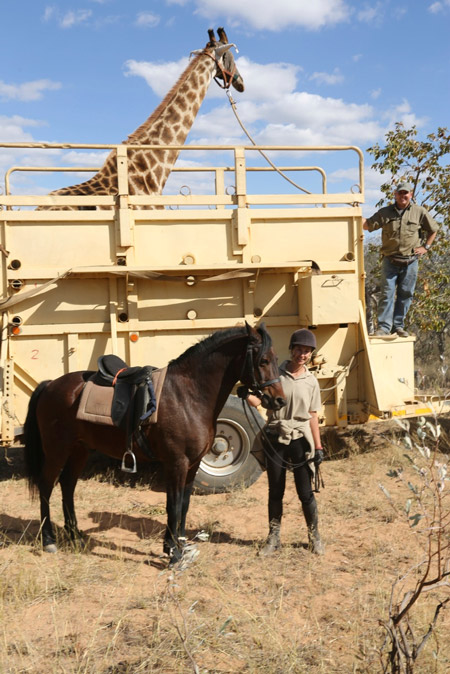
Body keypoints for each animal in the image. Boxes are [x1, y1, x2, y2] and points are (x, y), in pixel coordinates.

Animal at [22, 322, 284, 564]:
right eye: (263, 360)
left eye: (275, 359)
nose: (279, 400)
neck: (187, 396)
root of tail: (51, 385)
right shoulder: (177, 463)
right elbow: (173, 505)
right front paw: (174, 554)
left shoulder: (192, 464)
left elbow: (183, 504)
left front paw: (178, 545)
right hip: (56, 450)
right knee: (46, 486)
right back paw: (49, 540)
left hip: (79, 450)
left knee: (67, 485)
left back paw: (75, 535)